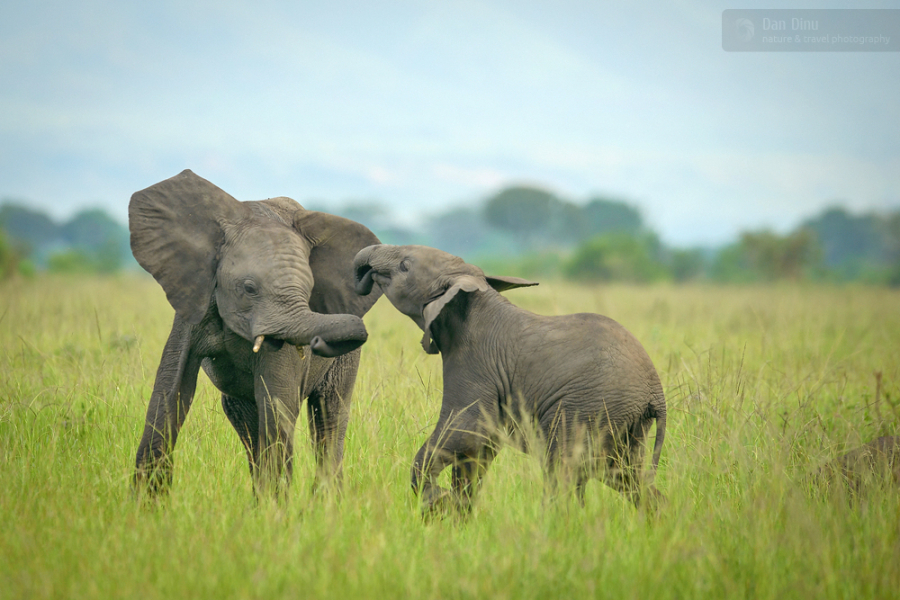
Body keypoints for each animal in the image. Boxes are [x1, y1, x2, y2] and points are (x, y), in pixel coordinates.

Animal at [128, 168, 382, 496]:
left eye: (309, 291)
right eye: (249, 288)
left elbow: (277, 403)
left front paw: (274, 507)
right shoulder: (194, 300)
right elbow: (170, 390)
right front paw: (144, 505)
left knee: (329, 413)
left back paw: (325, 503)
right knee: (244, 419)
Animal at [354, 245, 668, 516]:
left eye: (404, 266)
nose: (363, 275)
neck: (470, 297)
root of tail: (655, 393)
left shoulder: (475, 364)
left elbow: (466, 431)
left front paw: (437, 504)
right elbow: (478, 450)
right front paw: (456, 515)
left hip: (589, 408)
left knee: (564, 472)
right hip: (624, 423)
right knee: (623, 475)